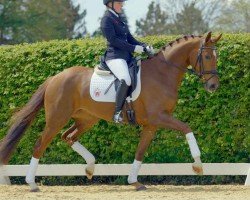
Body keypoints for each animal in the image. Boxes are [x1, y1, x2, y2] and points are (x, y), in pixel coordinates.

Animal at [0, 31, 223, 191]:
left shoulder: (151, 124)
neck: (162, 73)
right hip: (57, 118)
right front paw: (198, 165)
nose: (213, 86)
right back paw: (32, 183)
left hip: (86, 119)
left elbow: (140, 151)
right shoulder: (160, 117)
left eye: (216, 56)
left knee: (68, 136)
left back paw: (90, 167)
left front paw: (134, 181)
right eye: (206, 55)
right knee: (41, 143)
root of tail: (55, 77)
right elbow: (187, 128)